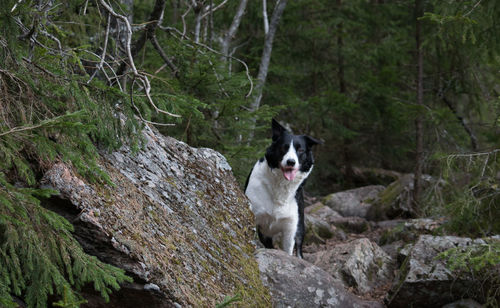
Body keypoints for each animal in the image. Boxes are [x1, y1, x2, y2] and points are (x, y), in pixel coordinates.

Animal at [245, 119, 322, 258]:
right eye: (283, 148)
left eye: (300, 150)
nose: (291, 162)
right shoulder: (255, 216)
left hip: (299, 225)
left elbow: (289, 252)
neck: (280, 185)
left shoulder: (291, 227)